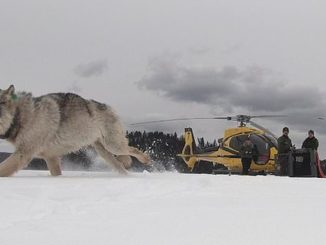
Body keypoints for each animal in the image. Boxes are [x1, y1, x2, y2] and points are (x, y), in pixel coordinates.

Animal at [0, 85, 150, 177]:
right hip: (104, 152)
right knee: (121, 166)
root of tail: (108, 106)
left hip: (113, 146)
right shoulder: (51, 157)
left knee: (133, 150)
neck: (19, 115)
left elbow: (3, 168)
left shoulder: (23, 153)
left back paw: (146, 160)